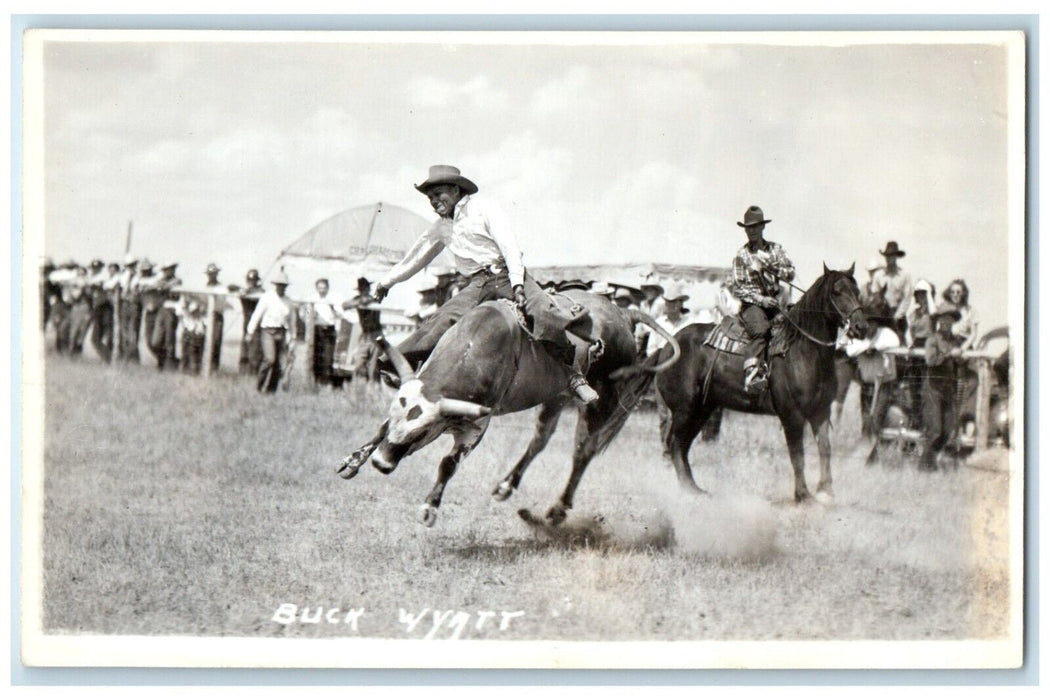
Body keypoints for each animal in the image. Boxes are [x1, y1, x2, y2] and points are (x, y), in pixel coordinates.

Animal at [336, 289, 680, 524]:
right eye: (396, 418)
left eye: (421, 433)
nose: (381, 463)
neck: (473, 349)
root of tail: (624, 315)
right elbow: (380, 430)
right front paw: (354, 460)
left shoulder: (476, 426)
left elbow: (448, 463)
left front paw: (430, 507)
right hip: (556, 396)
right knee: (541, 438)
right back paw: (506, 485)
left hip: (603, 401)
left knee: (583, 452)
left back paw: (557, 510)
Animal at [655, 264, 869, 503]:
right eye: (837, 292)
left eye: (857, 291)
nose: (861, 326)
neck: (802, 350)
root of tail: (668, 347)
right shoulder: (792, 416)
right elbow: (797, 455)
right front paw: (803, 495)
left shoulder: (821, 411)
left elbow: (825, 448)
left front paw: (826, 491)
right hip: (684, 409)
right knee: (675, 444)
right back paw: (687, 489)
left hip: (702, 409)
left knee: (682, 446)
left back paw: (694, 489)